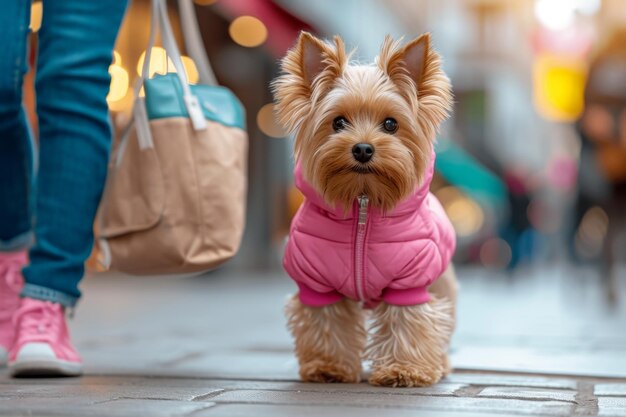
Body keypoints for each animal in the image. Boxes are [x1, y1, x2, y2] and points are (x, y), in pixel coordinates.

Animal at [270, 32, 456, 386]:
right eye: (338, 122)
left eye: (391, 124)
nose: (363, 148)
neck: (363, 203)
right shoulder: (317, 283)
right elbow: (327, 323)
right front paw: (328, 366)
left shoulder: (410, 283)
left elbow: (408, 322)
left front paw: (403, 369)